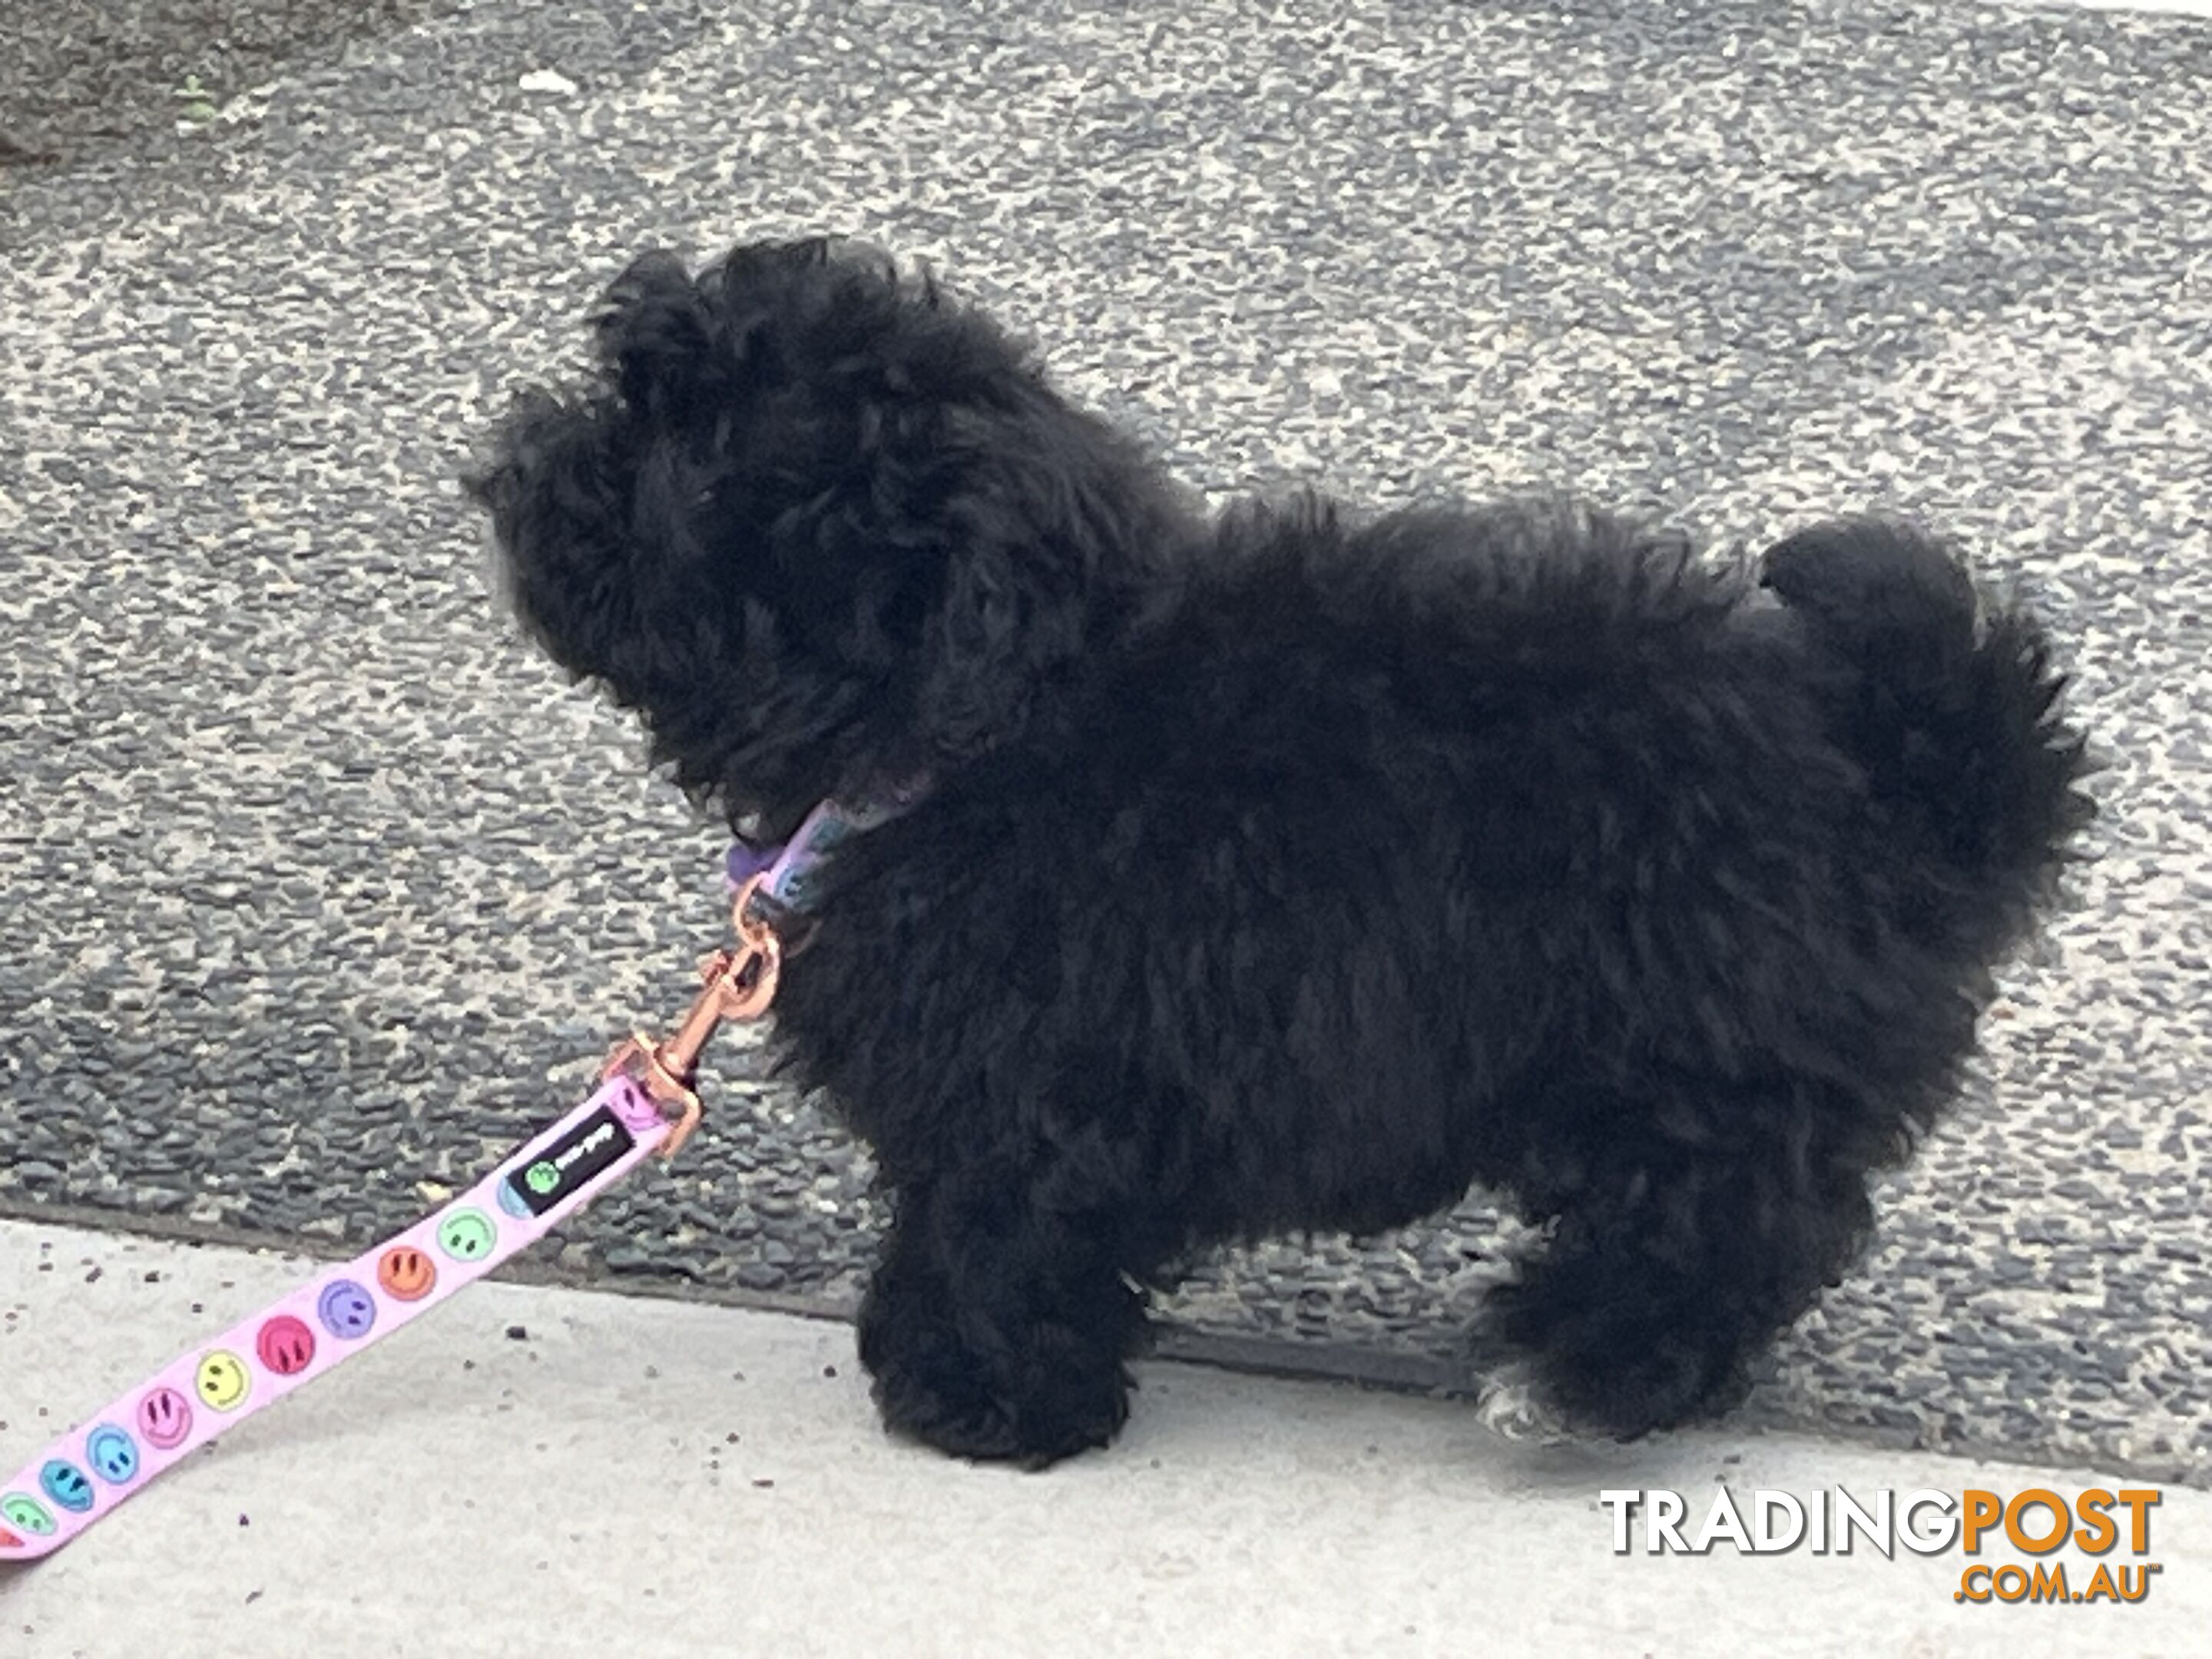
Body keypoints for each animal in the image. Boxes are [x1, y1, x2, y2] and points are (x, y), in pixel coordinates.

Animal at [471, 237, 2088, 1469]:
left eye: (693, 465)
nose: (532, 447)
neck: (987, 716)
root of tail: (1908, 779)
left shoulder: (1030, 1085)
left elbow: (994, 1228)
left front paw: (982, 1398)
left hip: (1696, 1056)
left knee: (1717, 1231)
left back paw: (1573, 1373)